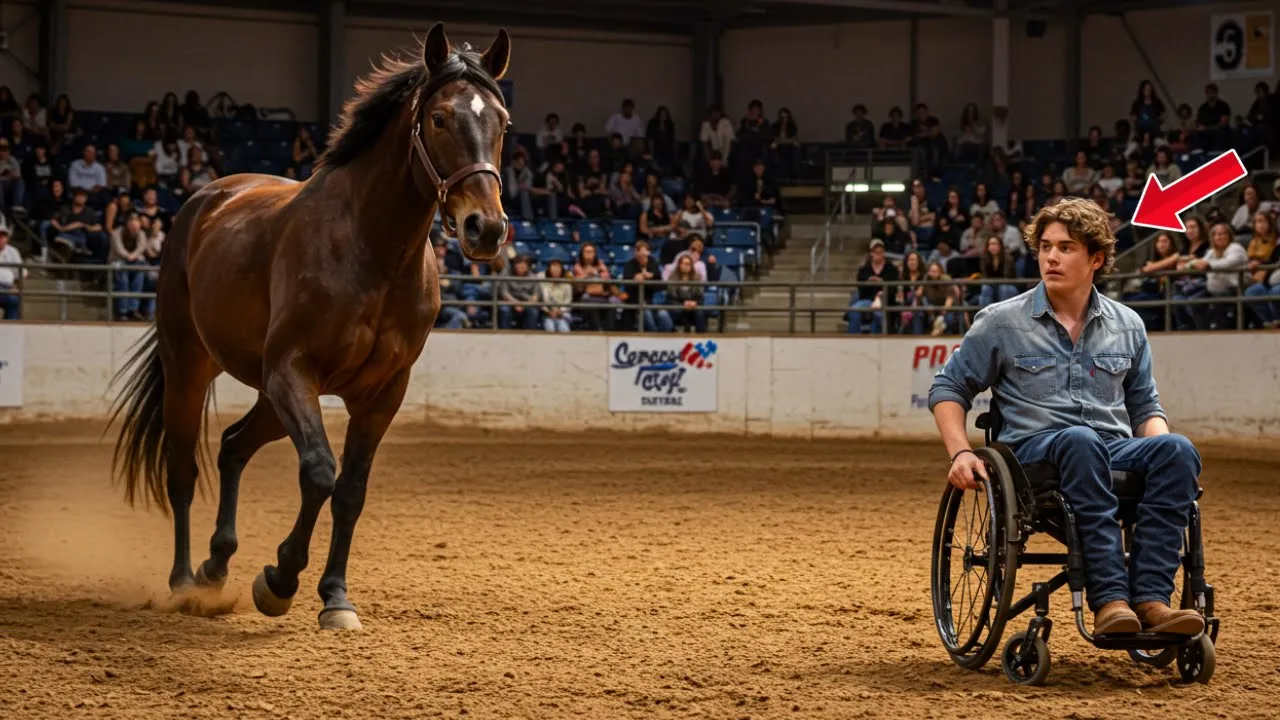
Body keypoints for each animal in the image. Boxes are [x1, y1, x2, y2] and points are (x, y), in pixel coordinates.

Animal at [106, 23, 512, 631]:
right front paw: (279, 580)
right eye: (440, 118)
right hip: (192, 369)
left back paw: (216, 565)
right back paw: (184, 582)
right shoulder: (294, 372)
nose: (485, 228)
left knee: (232, 447)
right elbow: (320, 472)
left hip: (270, 400)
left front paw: (335, 597)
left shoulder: (381, 393)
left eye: (502, 121)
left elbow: (351, 490)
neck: (371, 250)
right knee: (182, 469)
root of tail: (206, 199)